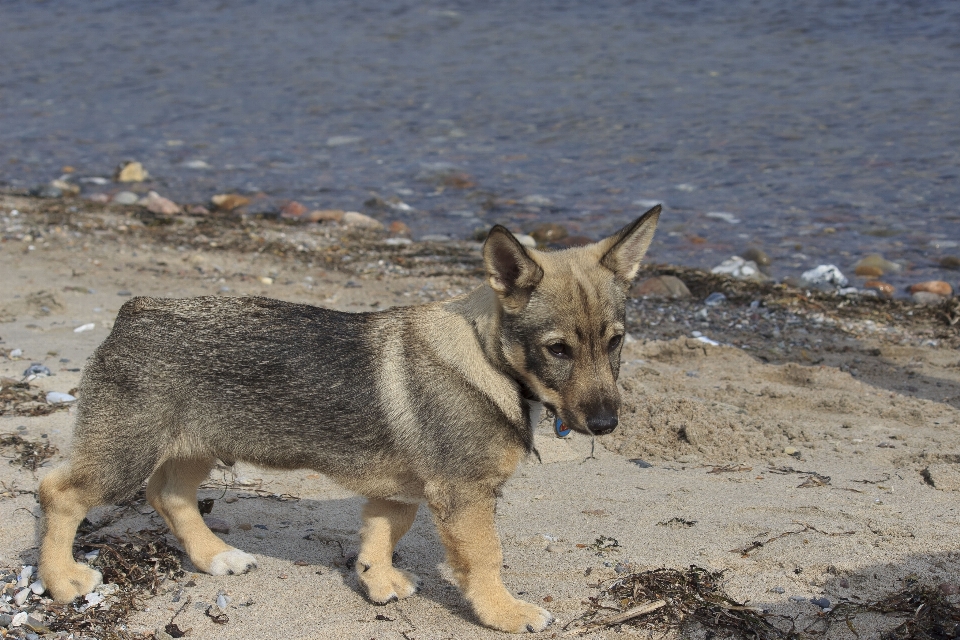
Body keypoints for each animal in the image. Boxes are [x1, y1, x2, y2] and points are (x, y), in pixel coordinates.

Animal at [41, 204, 664, 632]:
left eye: (616, 341)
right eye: (558, 350)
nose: (606, 426)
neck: (489, 360)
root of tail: (133, 311)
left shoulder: (402, 489)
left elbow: (384, 533)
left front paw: (378, 581)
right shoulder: (465, 495)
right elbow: (485, 559)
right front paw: (504, 613)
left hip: (195, 447)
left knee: (169, 496)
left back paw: (214, 557)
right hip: (124, 455)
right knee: (59, 493)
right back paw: (62, 581)